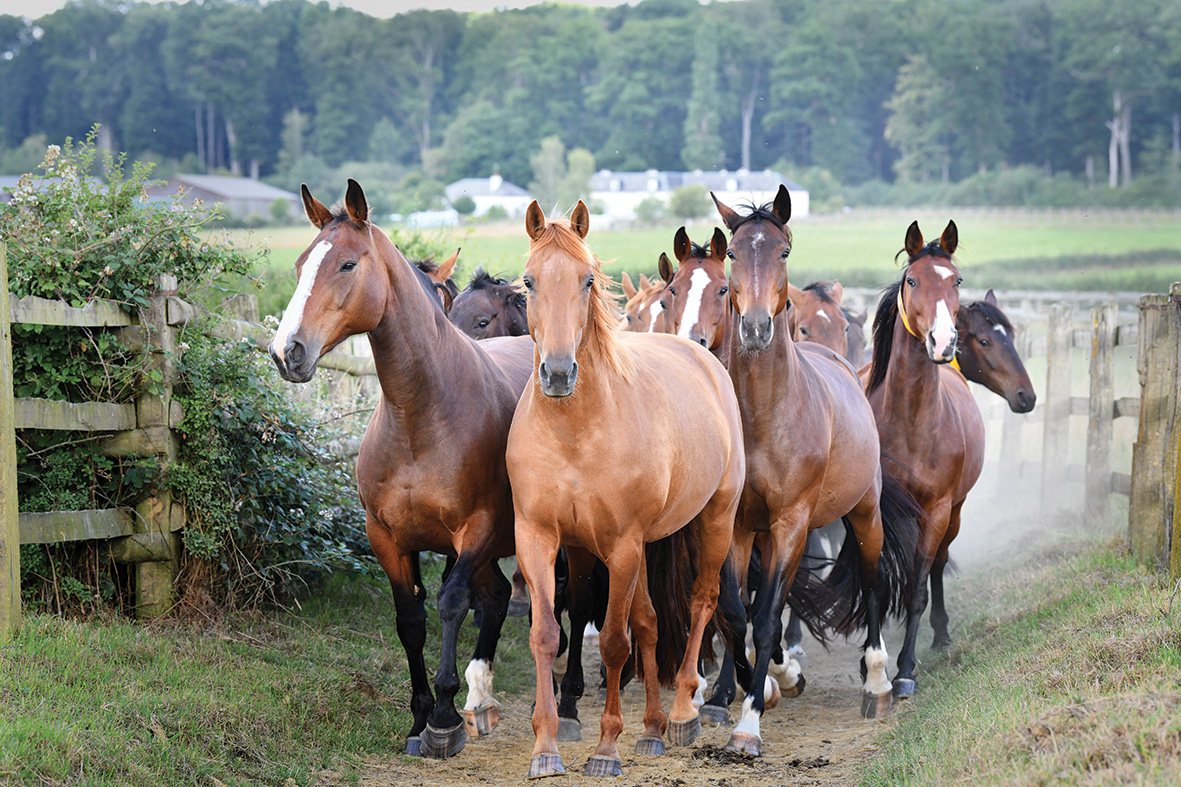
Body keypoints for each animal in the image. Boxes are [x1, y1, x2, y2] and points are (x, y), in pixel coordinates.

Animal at [270, 180, 533, 756]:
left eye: (347, 264)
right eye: (299, 264)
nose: (286, 352)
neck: (421, 417)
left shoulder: (474, 531)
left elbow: (452, 603)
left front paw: (444, 718)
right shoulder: (387, 536)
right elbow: (411, 619)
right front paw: (419, 719)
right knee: (499, 597)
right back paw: (482, 702)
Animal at [510, 199, 746, 775]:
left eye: (587, 279)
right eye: (528, 280)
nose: (557, 373)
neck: (575, 431)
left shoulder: (619, 545)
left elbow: (616, 643)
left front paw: (606, 747)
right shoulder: (541, 538)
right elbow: (547, 634)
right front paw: (546, 746)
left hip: (713, 519)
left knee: (700, 601)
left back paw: (682, 712)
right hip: (642, 547)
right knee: (651, 622)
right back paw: (654, 729)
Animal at [699, 185, 921, 756]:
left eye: (782, 251)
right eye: (733, 254)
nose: (756, 327)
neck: (763, 416)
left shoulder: (792, 522)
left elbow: (766, 615)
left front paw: (750, 724)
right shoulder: (738, 525)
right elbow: (738, 611)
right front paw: (764, 683)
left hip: (863, 513)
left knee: (871, 580)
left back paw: (877, 684)